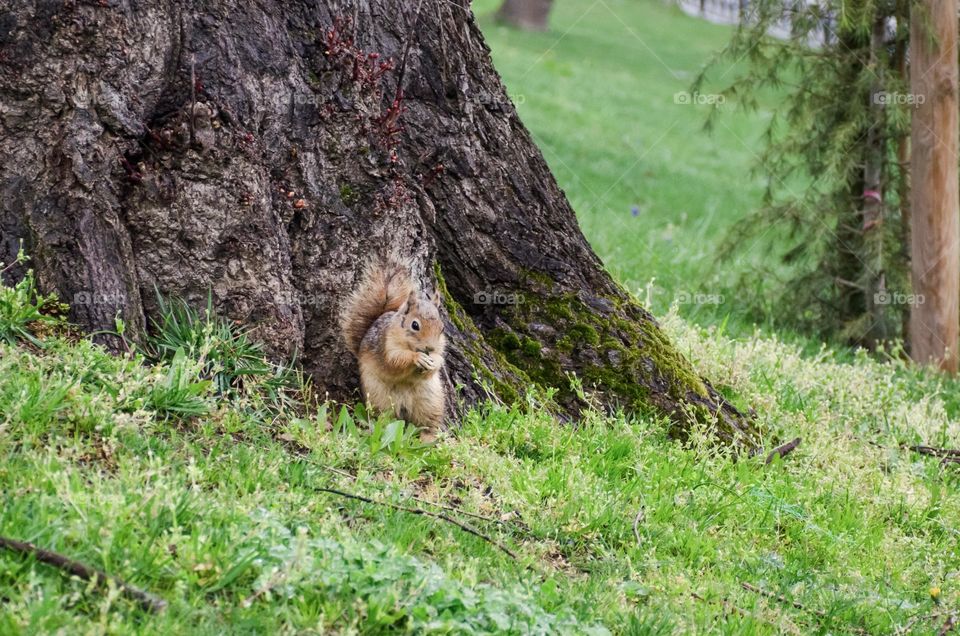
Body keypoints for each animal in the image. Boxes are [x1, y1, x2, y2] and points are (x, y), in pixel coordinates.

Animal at [342, 256, 446, 440]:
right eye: (415, 325)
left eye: (442, 328)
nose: (430, 347)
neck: (410, 345)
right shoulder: (386, 345)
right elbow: (394, 361)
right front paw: (417, 358)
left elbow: (439, 360)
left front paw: (433, 361)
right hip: (380, 397)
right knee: (385, 418)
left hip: (430, 401)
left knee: (428, 424)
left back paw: (427, 438)